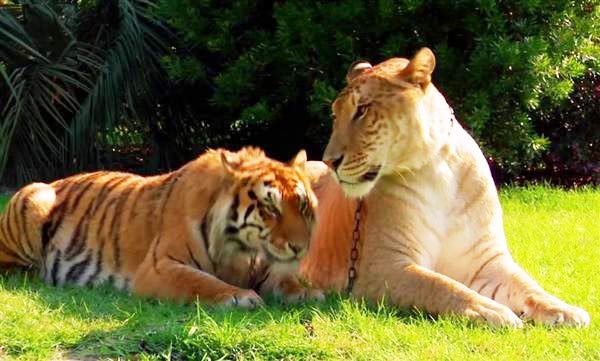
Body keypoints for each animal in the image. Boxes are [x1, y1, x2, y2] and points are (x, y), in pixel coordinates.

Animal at [0, 146, 324, 306]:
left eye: (302, 206)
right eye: (270, 208)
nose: (300, 247)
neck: (243, 251)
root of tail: (55, 180)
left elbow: (285, 279)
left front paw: (308, 292)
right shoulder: (159, 266)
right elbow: (200, 282)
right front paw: (239, 296)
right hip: (35, 196)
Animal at [300, 47, 592, 326]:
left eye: (362, 109)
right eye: (336, 114)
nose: (330, 161)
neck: (436, 169)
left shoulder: (486, 261)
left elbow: (527, 285)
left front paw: (563, 309)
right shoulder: (381, 267)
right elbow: (439, 285)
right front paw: (490, 310)